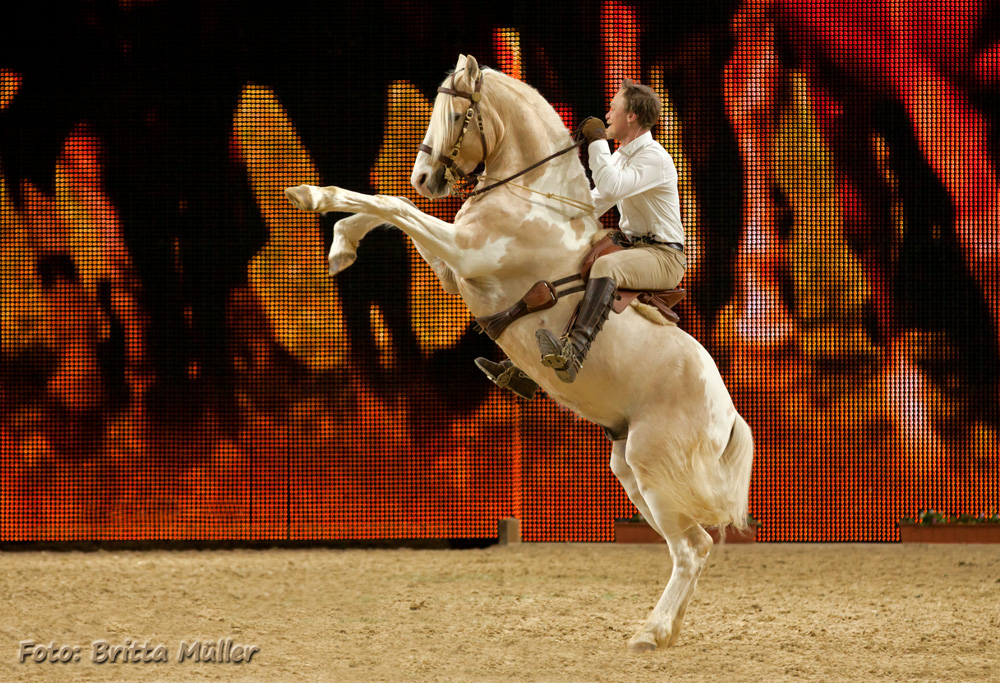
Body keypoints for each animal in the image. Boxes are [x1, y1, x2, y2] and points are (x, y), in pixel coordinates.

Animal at [286, 53, 752, 652]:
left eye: (456, 112)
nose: (424, 176)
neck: (533, 195)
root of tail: (728, 412)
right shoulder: (454, 264)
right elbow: (395, 210)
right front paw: (343, 243)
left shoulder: (466, 253)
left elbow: (394, 204)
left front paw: (313, 197)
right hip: (629, 468)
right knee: (690, 546)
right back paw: (663, 629)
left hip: (654, 467)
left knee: (693, 547)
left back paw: (650, 634)